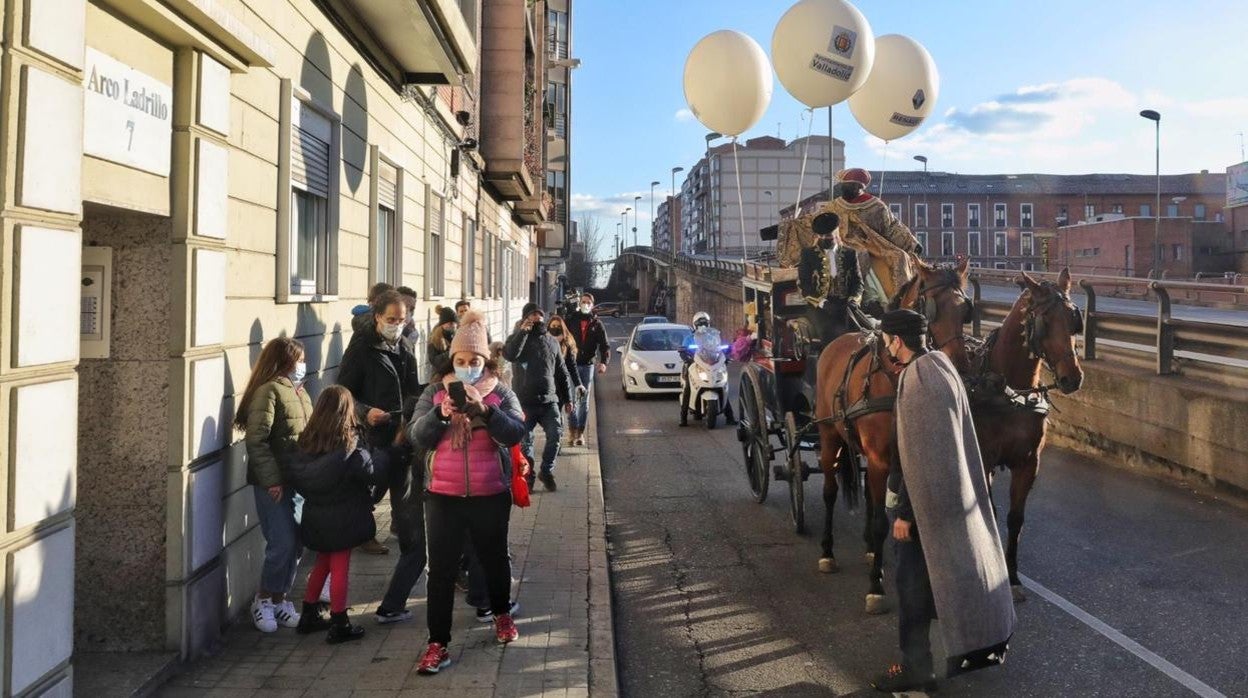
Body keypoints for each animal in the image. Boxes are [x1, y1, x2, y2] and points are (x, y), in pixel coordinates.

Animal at [808, 259, 973, 614]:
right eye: (932, 308)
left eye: (965, 309)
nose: (958, 366)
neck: (898, 376)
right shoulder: (881, 458)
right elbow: (883, 521)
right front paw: (876, 587)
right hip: (829, 436)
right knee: (830, 491)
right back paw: (827, 552)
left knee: (870, 500)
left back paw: (871, 548)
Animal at [963, 267, 1083, 601]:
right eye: (1045, 321)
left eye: (1073, 319)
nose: (1073, 378)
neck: (1010, 392)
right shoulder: (985, 459)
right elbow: (989, 510)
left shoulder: (1028, 463)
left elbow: (1015, 520)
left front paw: (1014, 577)